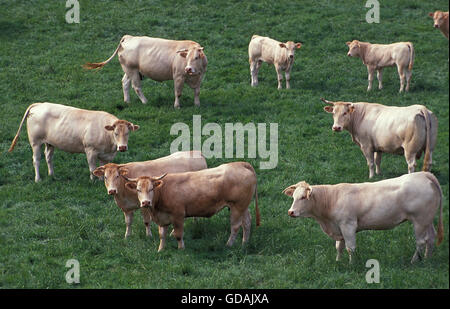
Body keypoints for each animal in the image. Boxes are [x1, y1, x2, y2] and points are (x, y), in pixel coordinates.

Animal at [7, 102, 139, 182]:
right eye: (115, 133)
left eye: (127, 133)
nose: (122, 147)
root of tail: (40, 104)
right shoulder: (90, 150)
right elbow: (92, 167)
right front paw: (93, 181)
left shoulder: (106, 155)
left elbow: (103, 168)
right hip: (35, 142)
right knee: (36, 159)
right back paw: (38, 179)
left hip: (50, 143)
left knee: (48, 157)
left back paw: (52, 175)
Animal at [122, 161, 260, 250]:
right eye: (138, 189)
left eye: (151, 188)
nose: (146, 202)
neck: (163, 191)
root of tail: (240, 164)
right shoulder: (162, 218)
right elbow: (162, 235)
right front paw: (160, 249)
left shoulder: (178, 215)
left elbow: (178, 234)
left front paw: (181, 249)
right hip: (243, 206)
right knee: (247, 222)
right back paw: (244, 243)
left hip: (237, 206)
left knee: (236, 226)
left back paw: (229, 244)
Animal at [284, 171, 444, 262]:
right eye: (294, 197)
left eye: (303, 197)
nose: (291, 212)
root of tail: (423, 174)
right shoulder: (339, 228)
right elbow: (339, 247)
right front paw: (338, 262)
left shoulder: (348, 225)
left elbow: (350, 248)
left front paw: (351, 265)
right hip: (427, 219)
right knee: (431, 238)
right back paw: (428, 259)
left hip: (419, 220)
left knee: (421, 241)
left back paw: (414, 261)